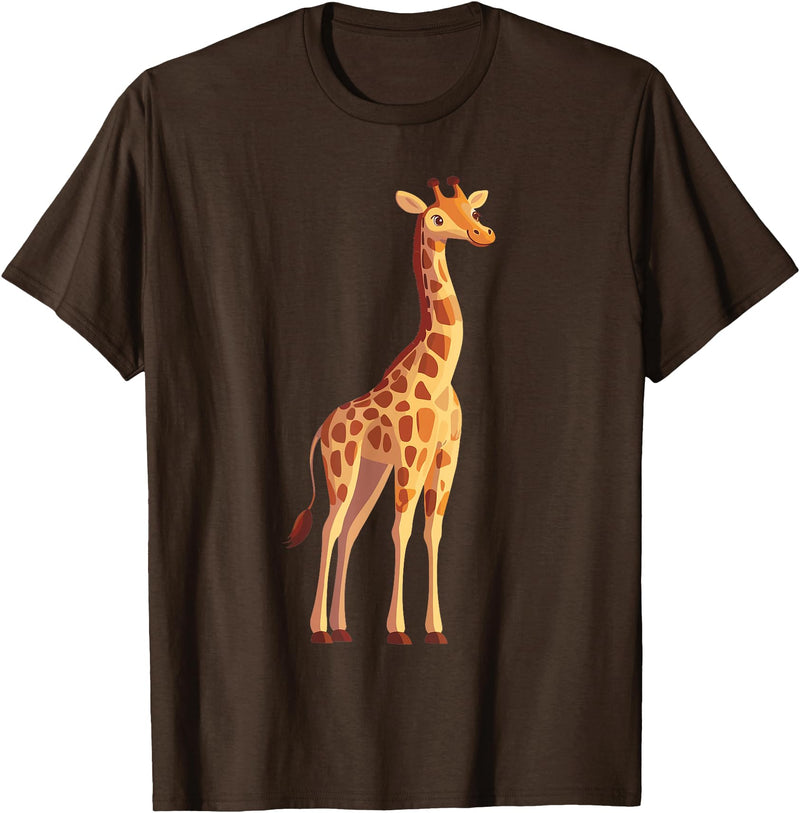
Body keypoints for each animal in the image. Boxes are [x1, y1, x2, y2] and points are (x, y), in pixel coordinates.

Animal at [285, 176, 495, 645]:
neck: (438, 378)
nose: (482, 233)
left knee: (350, 530)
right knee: (330, 528)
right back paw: (319, 629)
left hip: (371, 472)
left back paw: (343, 627)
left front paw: (435, 629)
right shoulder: (412, 455)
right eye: (436, 218)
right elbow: (402, 530)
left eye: (472, 211)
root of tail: (322, 428)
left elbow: (433, 532)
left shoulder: (447, 455)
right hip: (342, 468)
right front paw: (398, 630)